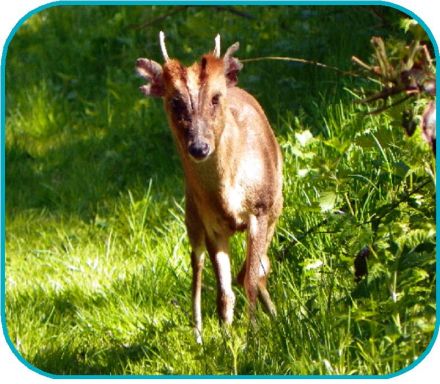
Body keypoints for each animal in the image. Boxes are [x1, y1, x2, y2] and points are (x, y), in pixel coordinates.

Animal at [136, 30, 284, 342]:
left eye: (215, 98)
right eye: (175, 102)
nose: (199, 147)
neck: (228, 195)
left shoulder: (262, 208)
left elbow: (250, 277)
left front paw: (255, 334)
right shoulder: (212, 225)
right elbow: (224, 294)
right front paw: (229, 341)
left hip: (275, 205)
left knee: (254, 269)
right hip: (191, 216)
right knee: (197, 268)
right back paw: (198, 334)